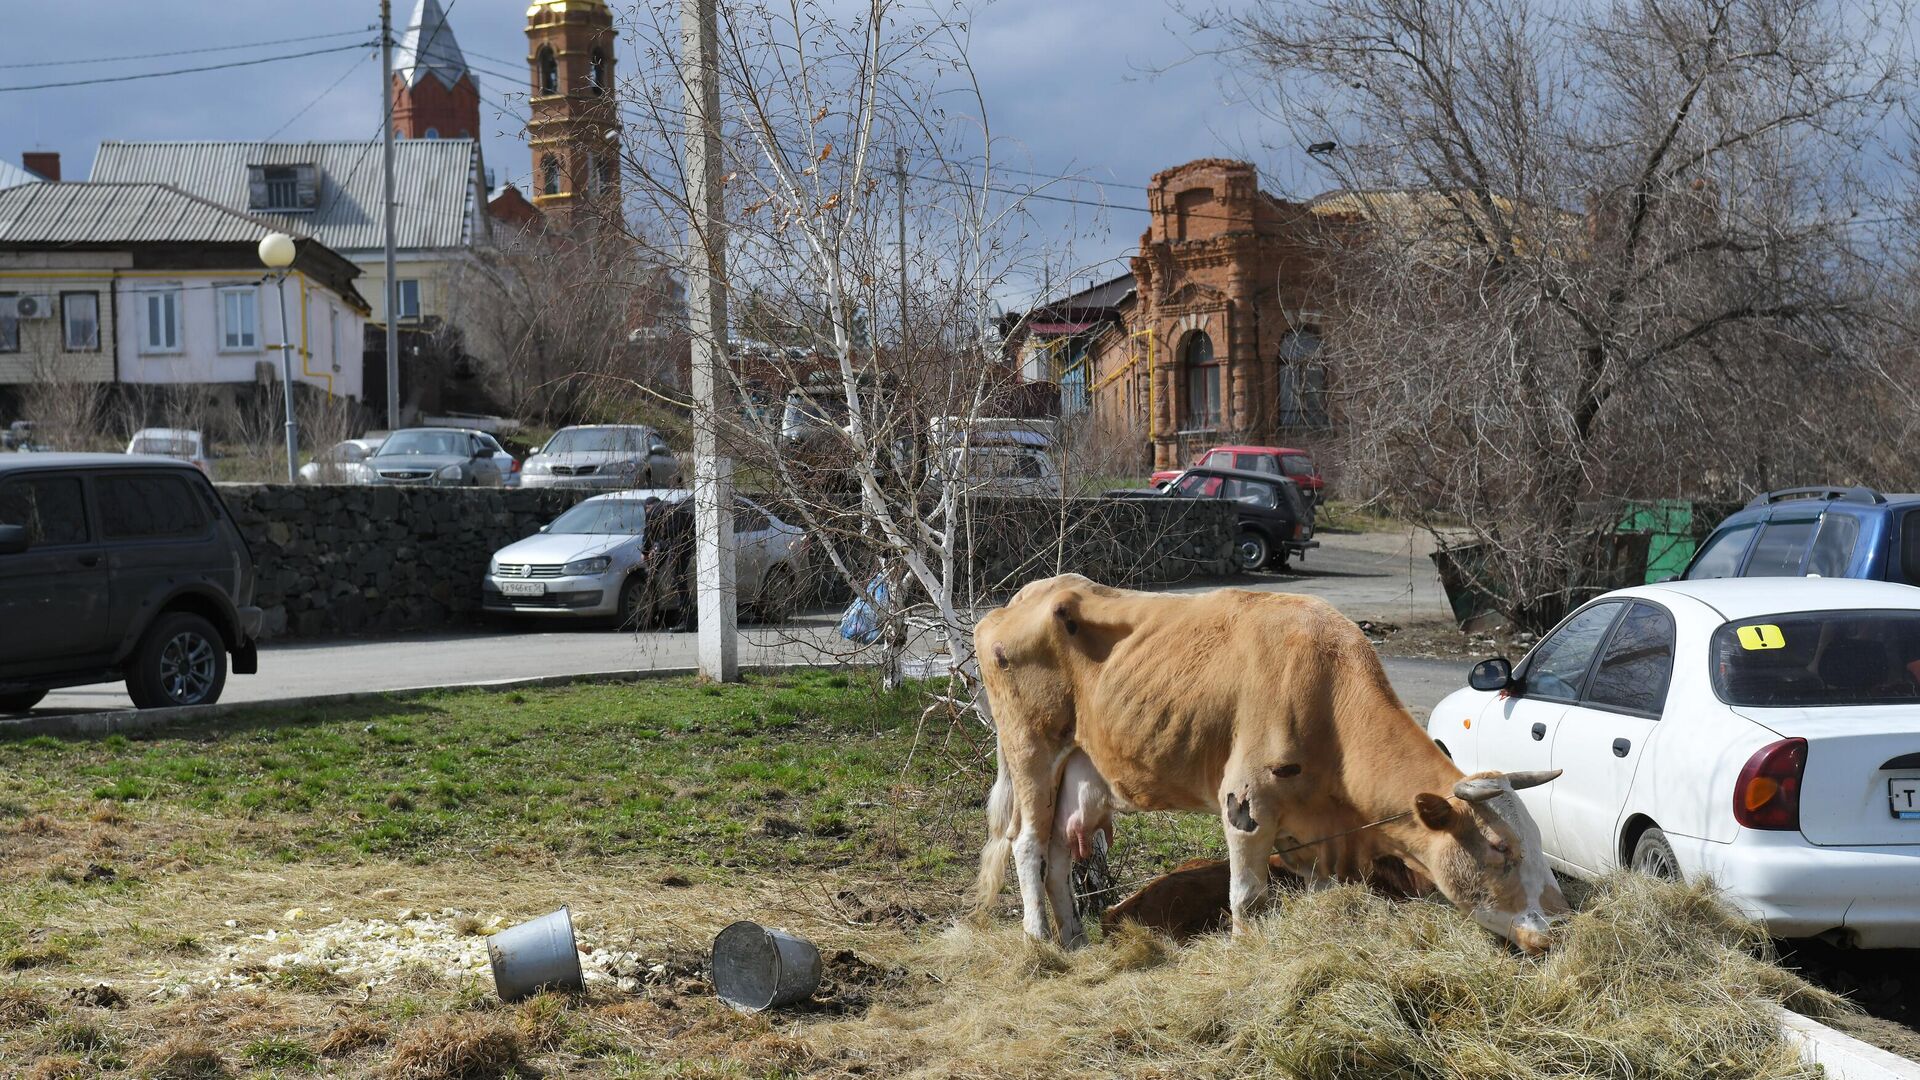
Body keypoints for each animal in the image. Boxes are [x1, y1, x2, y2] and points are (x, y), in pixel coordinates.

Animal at [967, 576, 1566, 945]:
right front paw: (1244, 952)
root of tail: (1018, 600)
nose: (1561, 921)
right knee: (1027, 847)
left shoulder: (1314, 837)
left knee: (1058, 854)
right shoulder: (1246, 800)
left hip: (1078, 772)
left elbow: (1318, 891)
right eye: (1500, 847)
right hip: (1030, 753)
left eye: (1539, 839)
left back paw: (1074, 939)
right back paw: (1040, 942)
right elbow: (1247, 896)